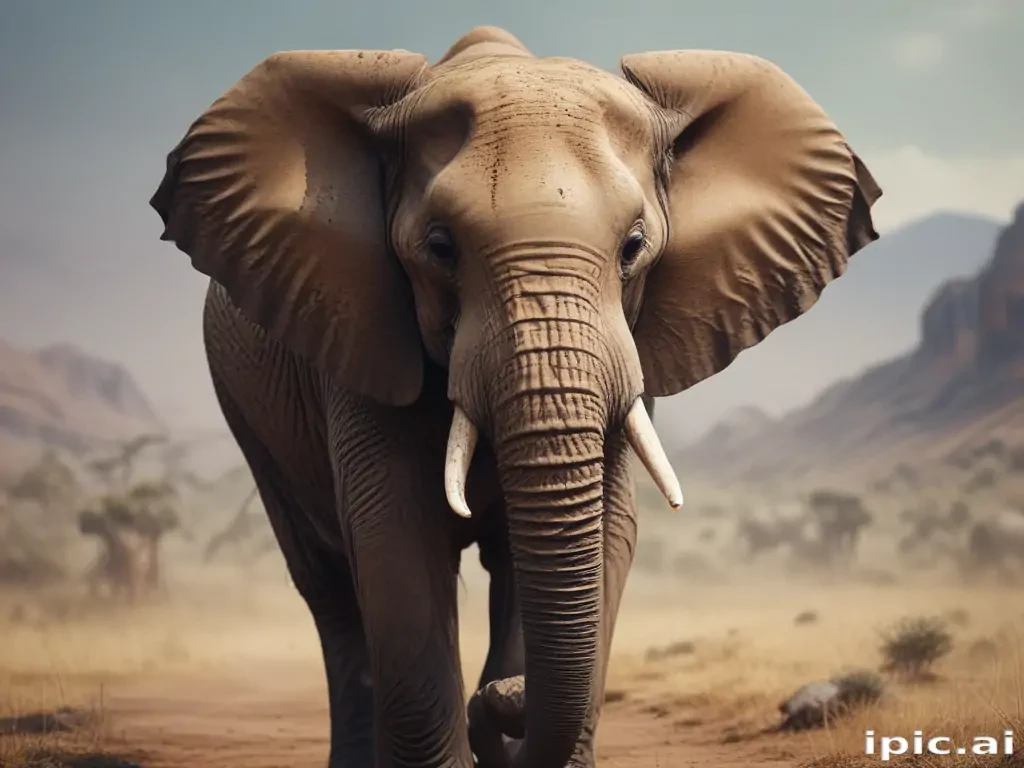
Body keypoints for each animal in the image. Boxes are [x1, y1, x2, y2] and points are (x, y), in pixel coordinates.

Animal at [149, 25, 880, 768]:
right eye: (440, 247)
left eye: (634, 247)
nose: (500, 701)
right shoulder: (359, 327)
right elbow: (394, 533)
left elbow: (610, 527)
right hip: (247, 414)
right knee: (330, 593)